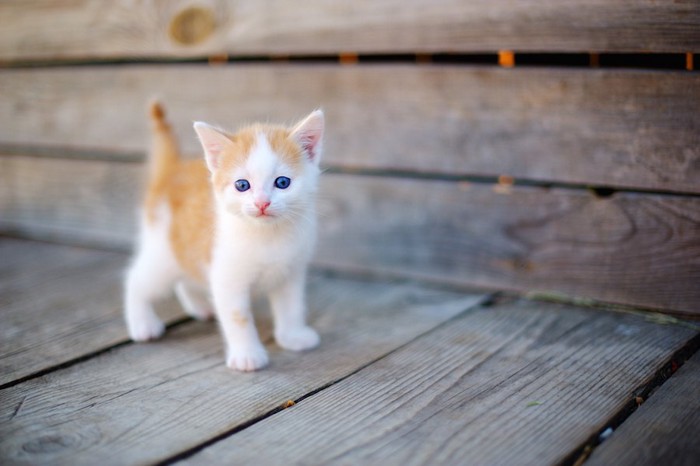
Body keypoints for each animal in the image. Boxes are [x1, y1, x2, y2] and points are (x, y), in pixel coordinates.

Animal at [124, 102, 324, 372]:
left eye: (282, 182)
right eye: (242, 185)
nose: (262, 203)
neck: (268, 235)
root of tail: (173, 169)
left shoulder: (290, 272)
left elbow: (291, 307)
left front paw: (293, 336)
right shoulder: (227, 277)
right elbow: (238, 317)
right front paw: (247, 356)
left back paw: (200, 307)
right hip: (163, 251)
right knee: (136, 279)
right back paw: (142, 323)